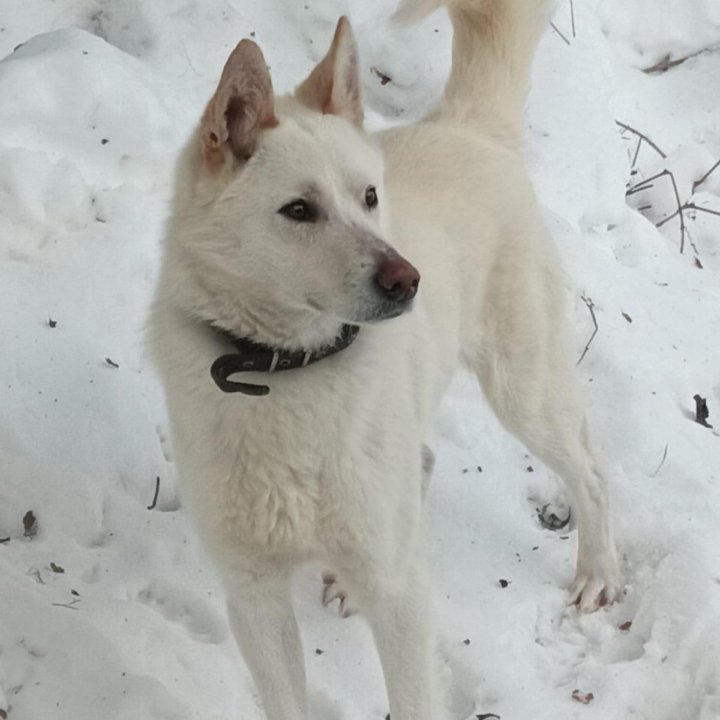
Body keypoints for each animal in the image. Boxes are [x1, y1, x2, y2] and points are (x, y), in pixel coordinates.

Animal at [150, 0, 620, 716]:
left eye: (370, 196)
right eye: (299, 209)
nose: (408, 279)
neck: (285, 371)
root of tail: (466, 125)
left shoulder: (402, 598)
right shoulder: (253, 595)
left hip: (524, 388)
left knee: (590, 472)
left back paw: (599, 574)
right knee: (421, 458)